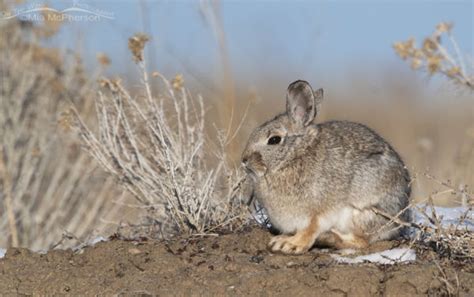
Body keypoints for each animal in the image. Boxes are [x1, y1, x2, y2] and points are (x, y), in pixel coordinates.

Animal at [241, 80, 412, 253]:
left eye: (274, 140)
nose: (244, 160)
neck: (294, 155)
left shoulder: (318, 212)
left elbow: (310, 229)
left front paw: (289, 244)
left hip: (361, 213)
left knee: (361, 241)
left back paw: (327, 237)